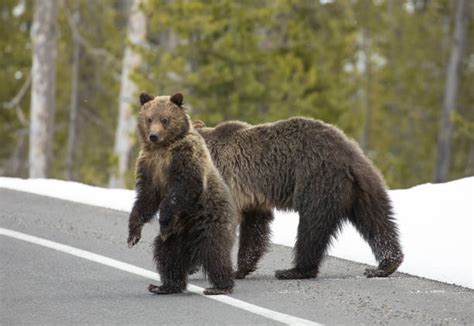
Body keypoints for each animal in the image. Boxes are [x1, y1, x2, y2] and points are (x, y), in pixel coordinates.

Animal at [127, 92, 236, 296]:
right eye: (149, 118)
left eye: (165, 119)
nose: (153, 136)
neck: (163, 149)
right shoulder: (150, 166)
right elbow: (146, 198)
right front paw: (133, 236)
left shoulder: (185, 160)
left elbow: (181, 190)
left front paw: (163, 219)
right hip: (176, 237)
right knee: (167, 255)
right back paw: (164, 286)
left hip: (209, 221)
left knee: (214, 253)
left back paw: (220, 286)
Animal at [195, 118, 404, 278]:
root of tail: (347, 156)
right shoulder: (252, 200)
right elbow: (255, 228)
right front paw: (241, 269)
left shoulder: (229, 182)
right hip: (364, 186)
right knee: (377, 221)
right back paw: (386, 265)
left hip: (316, 181)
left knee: (311, 228)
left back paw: (294, 271)